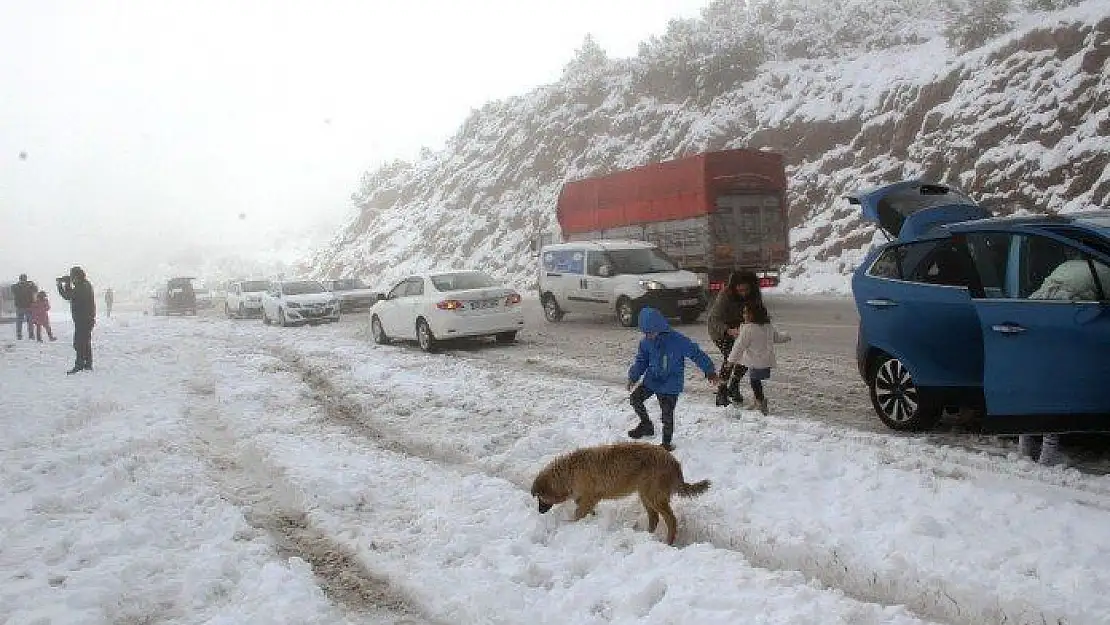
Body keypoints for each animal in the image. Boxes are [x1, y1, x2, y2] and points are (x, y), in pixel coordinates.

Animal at [530, 439, 710, 548]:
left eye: (539, 497)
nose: (539, 512)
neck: (568, 473)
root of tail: (673, 461)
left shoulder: (589, 497)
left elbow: (578, 514)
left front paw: (571, 526)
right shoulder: (585, 499)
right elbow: (585, 511)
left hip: (654, 497)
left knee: (671, 519)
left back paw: (668, 542)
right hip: (645, 495)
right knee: (654, 518)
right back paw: (647, 536)